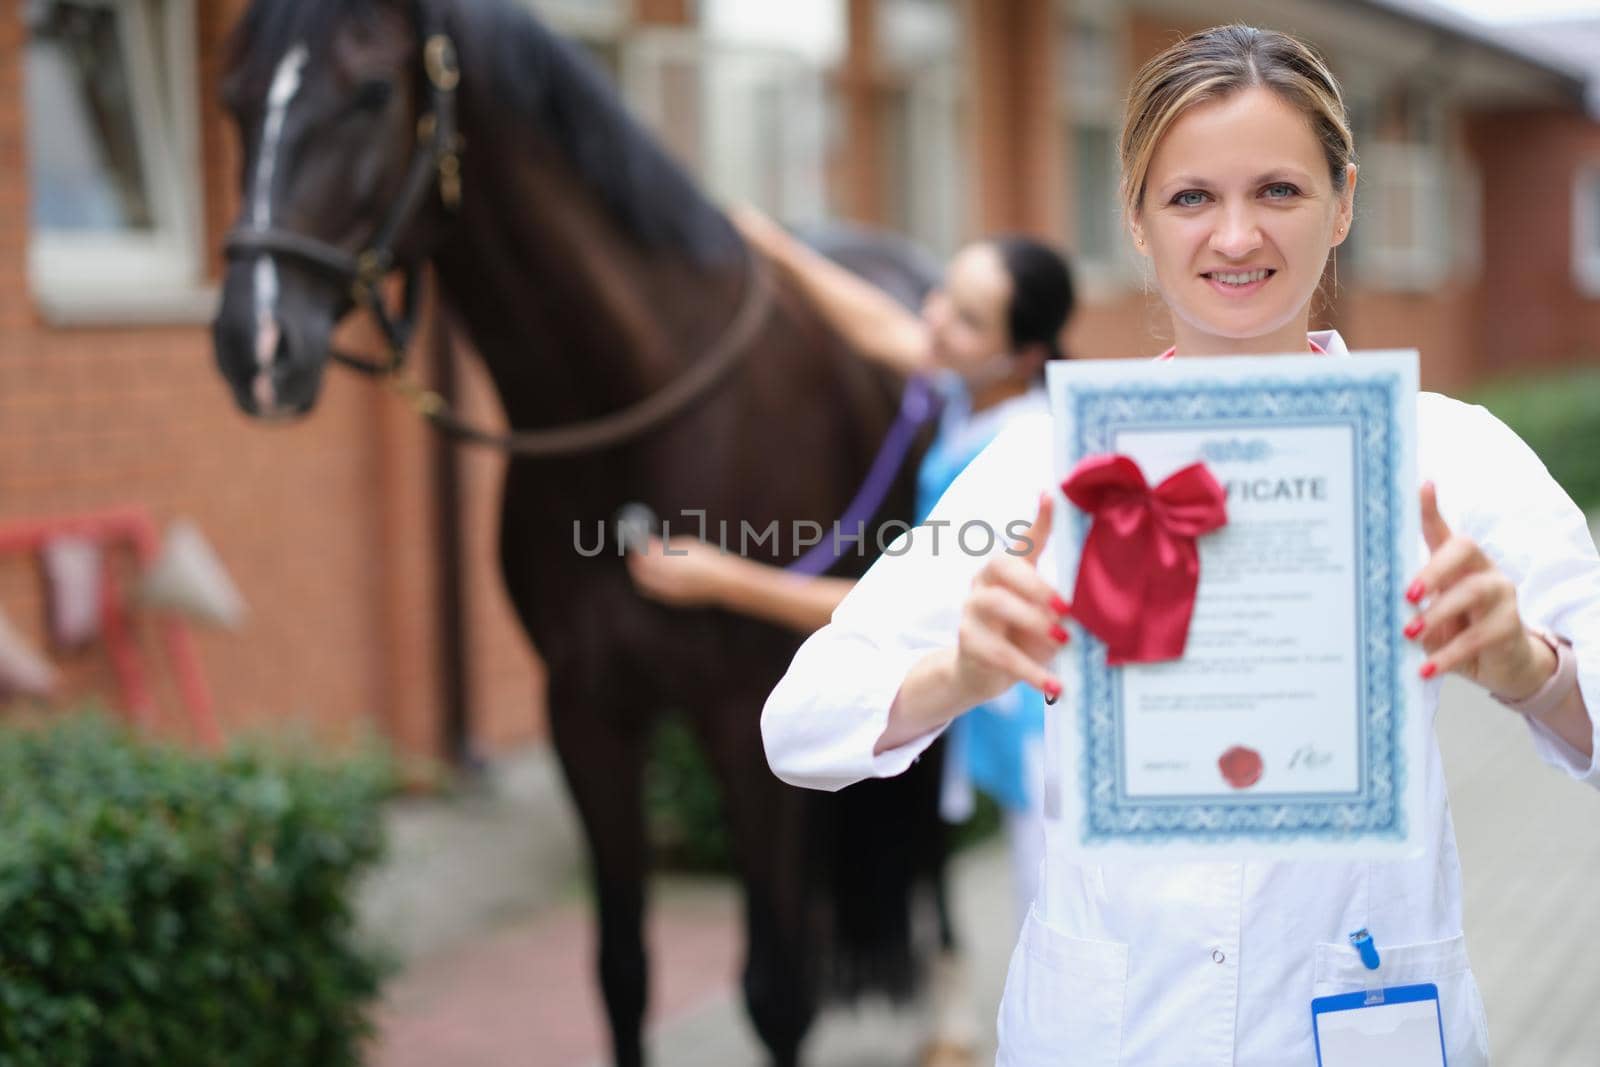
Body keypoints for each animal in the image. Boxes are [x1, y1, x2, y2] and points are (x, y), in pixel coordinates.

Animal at [212, 4, 960, 1062]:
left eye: (369, 92)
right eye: (232, 98)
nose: (256, 344)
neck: (637, 413)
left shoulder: (742, 713)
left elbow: (776, 991)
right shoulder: (587, 713)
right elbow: (622, 971)